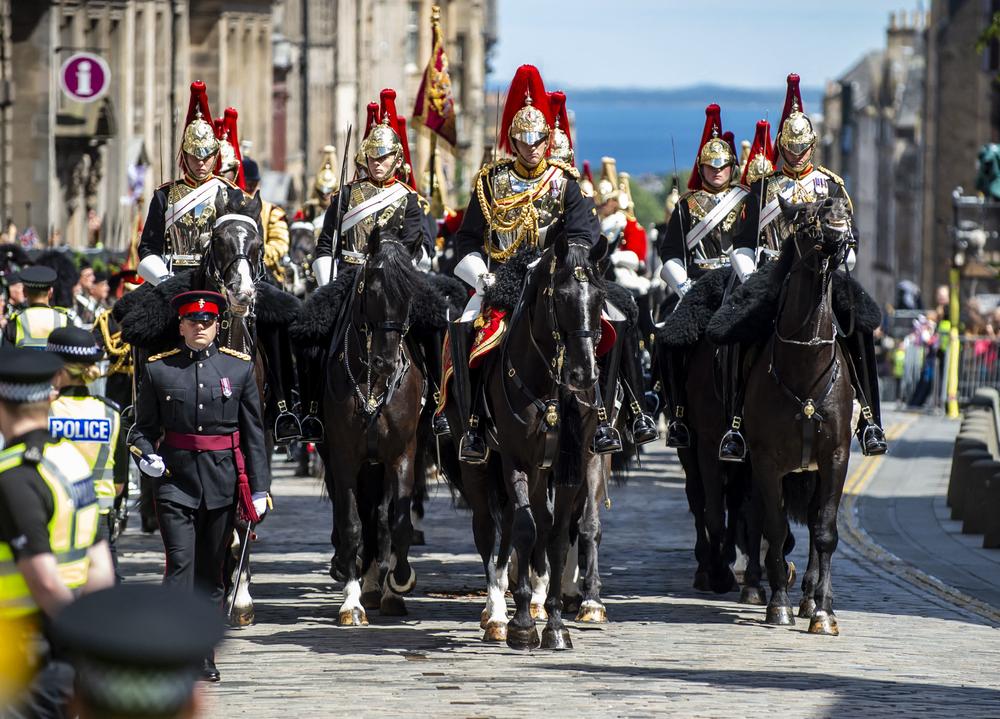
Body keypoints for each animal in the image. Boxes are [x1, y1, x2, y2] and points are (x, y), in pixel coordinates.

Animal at [322, 222, 424, 620]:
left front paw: (400, 580)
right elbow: (351, 523)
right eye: (375, 289)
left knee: (379, 516)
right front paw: (351, 602)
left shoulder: (403, 454)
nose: (387, 363)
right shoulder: (343, 457)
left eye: (411, 294)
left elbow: (398, 522)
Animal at [740, 197, 856, 636]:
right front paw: (779, 604)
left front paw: (823, 610)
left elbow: (824, 531)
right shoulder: (765, 460)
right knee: (758, 516)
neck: (805, 368)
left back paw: (809, 596)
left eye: (843, 208)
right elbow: (774, 527)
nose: (835, 207)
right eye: (805, 214)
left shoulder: (835, 458)